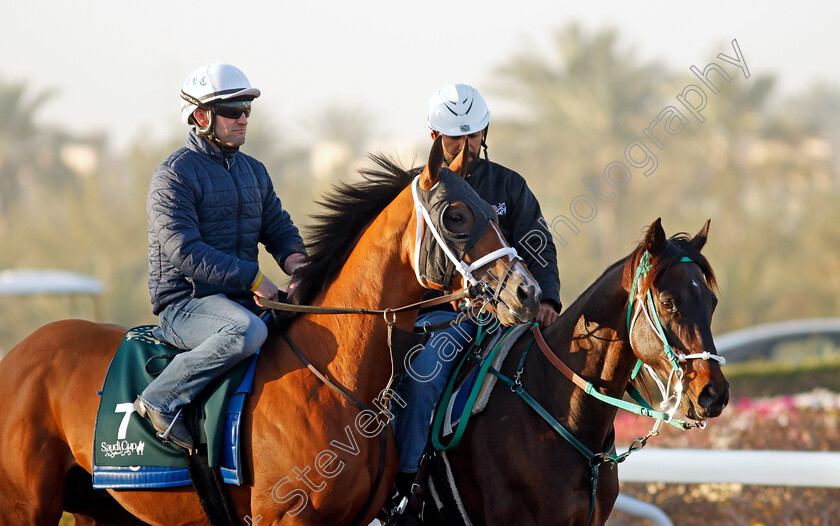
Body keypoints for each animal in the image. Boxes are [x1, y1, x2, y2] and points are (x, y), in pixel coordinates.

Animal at [0, 139, 540, 526]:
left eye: (493, 210)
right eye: (456, 216)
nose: (527, 293)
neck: (333, 381)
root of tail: (16, 354)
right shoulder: (284, 518)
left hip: (101, 509)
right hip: (25, 508)